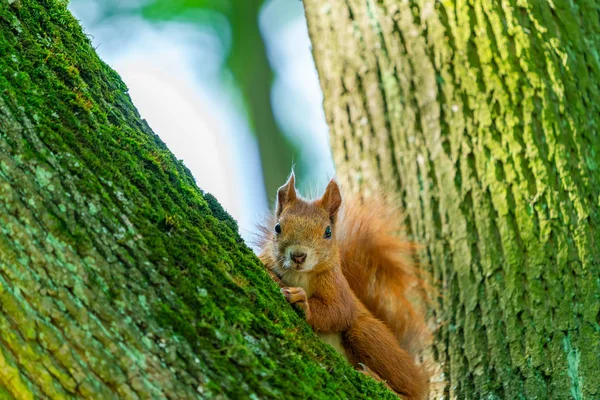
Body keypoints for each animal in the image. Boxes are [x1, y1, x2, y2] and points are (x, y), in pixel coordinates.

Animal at [258, 174, 432, 400]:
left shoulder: (337, 285)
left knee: (411, 392)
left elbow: (339, 311)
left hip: (366, 332)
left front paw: (303, 301)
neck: (298, 275)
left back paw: (380, 381)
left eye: (328, 232)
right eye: (278, 227)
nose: (298, 255)